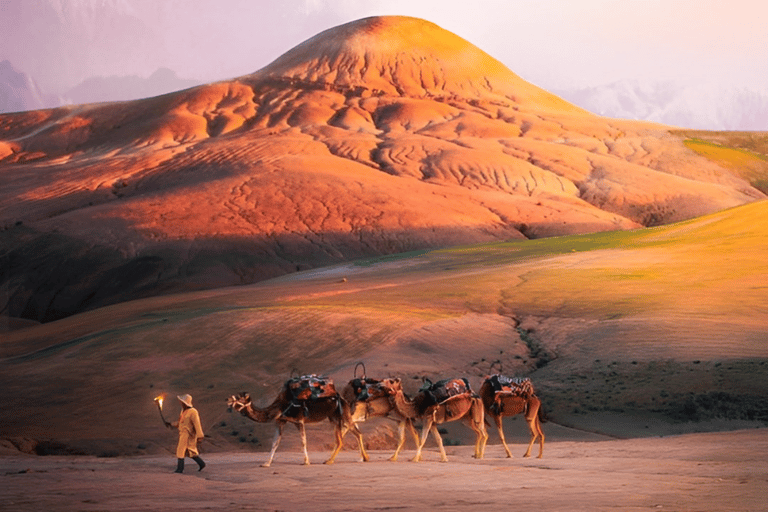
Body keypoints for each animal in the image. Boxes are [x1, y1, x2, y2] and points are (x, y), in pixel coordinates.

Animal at [228, 374, 368, 466]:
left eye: (239, 400)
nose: (228, 401)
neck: (280, 405)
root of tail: (340, 397)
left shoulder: (299, 420)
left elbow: (303, 441)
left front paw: (306, 462)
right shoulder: (281, 421)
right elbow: (275, 443)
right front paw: (266, 463)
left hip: (344, 414)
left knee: (356, 433)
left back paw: (360, 458)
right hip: (333, 417)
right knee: (341, 439)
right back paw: (331, 460)